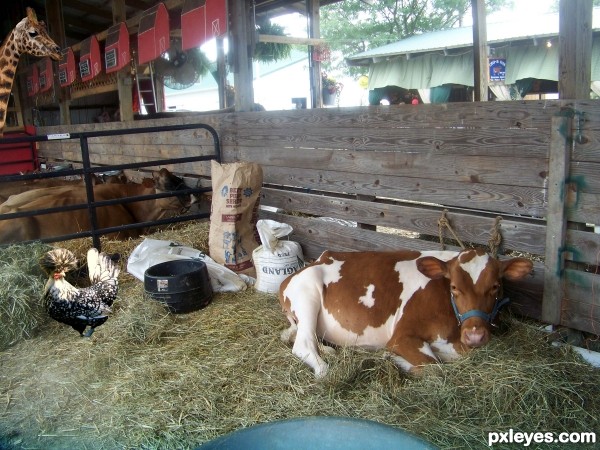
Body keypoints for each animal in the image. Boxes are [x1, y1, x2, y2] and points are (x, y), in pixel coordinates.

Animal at [278, 248, 532, 378]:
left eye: (496, 287)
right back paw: (324, 369)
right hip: (307, 294)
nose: (475, 335)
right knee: (303, 344)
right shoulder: (402, 336)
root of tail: (312, 262)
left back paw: (329, 350)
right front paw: (393, 358)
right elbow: (433, 368)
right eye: (454, 287)